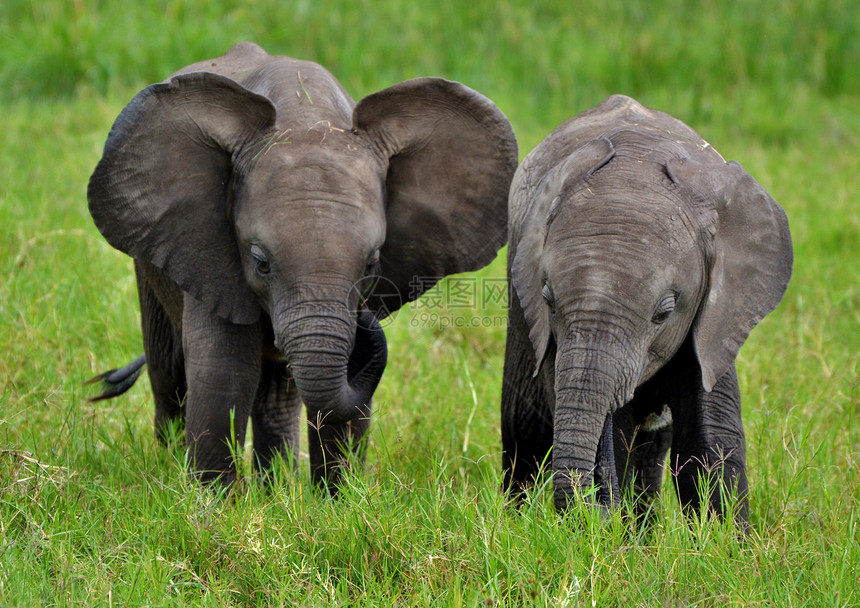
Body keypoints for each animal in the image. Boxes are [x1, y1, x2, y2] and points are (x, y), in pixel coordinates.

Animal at [85, 41, 516, 490]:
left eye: (372, 262)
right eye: (260, 261)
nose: (366, 320)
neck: (306, 116)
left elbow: (344, 385)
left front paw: (339, 500)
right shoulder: (208, 250)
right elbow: (224, 374)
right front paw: (214, 501)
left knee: (277, 393)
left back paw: (275, 489)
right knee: (169, 373)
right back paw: (173, 468)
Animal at [504, 95, 792, 528]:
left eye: (665, 311)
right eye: (548, 298)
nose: (597, 509)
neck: (635, 166)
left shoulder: (717, 316)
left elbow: (708, 440)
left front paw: (727, 542)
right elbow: (617, 438)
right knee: (526, 429)